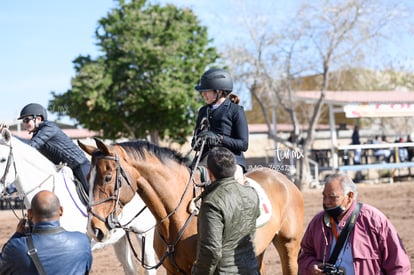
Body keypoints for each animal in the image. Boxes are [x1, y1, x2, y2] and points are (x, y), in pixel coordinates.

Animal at [79, 140, 304, 275]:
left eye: (108, 177)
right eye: (87, 178)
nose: (94, 229)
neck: (177, 215)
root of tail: (284, 179)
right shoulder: (173, 271)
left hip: (289, 246)